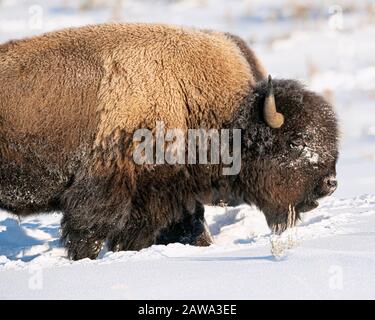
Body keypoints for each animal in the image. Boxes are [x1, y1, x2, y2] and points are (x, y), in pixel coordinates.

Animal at [0, 24, 340, 260]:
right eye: (295, 142)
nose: (329, 184)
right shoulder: (105, 191)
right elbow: (92, 234)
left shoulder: (171, 193)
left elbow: (185, 229)